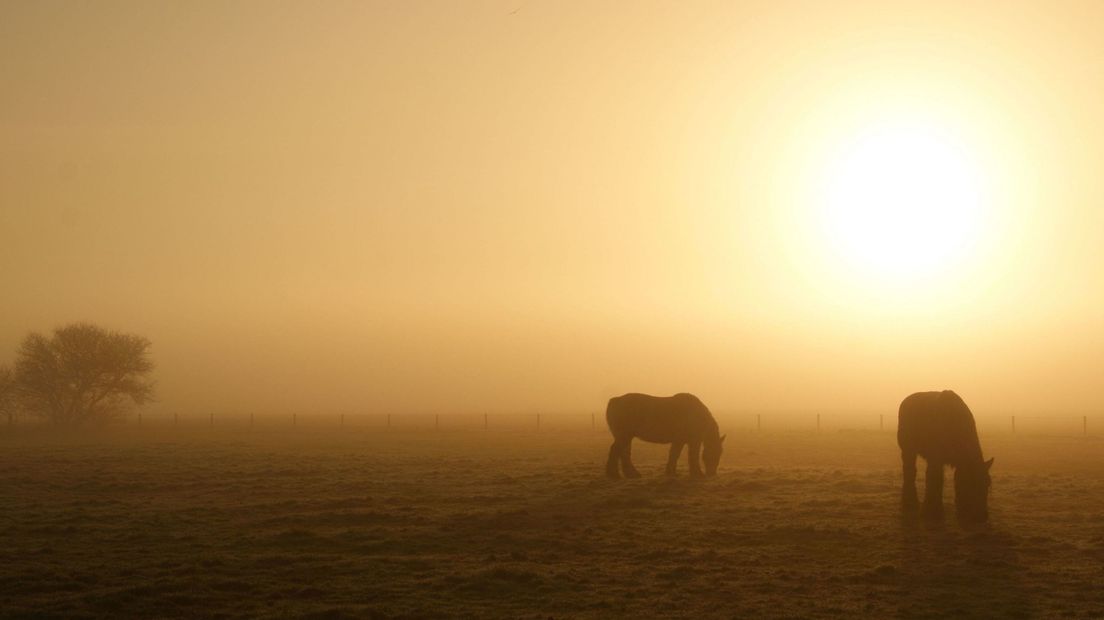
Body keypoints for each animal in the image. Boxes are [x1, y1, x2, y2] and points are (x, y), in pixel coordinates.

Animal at [896, 390, 993, 520]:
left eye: (987, 484)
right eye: (972, 483)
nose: (982, 516)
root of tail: (906, 401)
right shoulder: (935, 459)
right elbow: (934, 479)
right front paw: (932, 511)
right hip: (908, 450)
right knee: (909, 471)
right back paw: (910, 503)